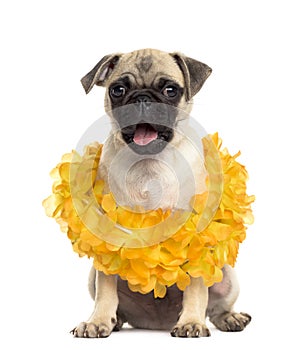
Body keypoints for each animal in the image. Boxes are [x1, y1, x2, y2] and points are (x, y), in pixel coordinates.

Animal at [71, 47, 251, 338]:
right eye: (118, 90)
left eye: (170, 90)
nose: (142, 99)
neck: (149, 164)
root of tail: (157, 323)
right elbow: (106, 291)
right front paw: (97, 321)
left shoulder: (194, 236)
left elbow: (196, 288)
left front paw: (191, 322)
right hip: (92, 277)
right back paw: (115, 320)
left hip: (227, 275)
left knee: (216, 307)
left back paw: (229, 318)